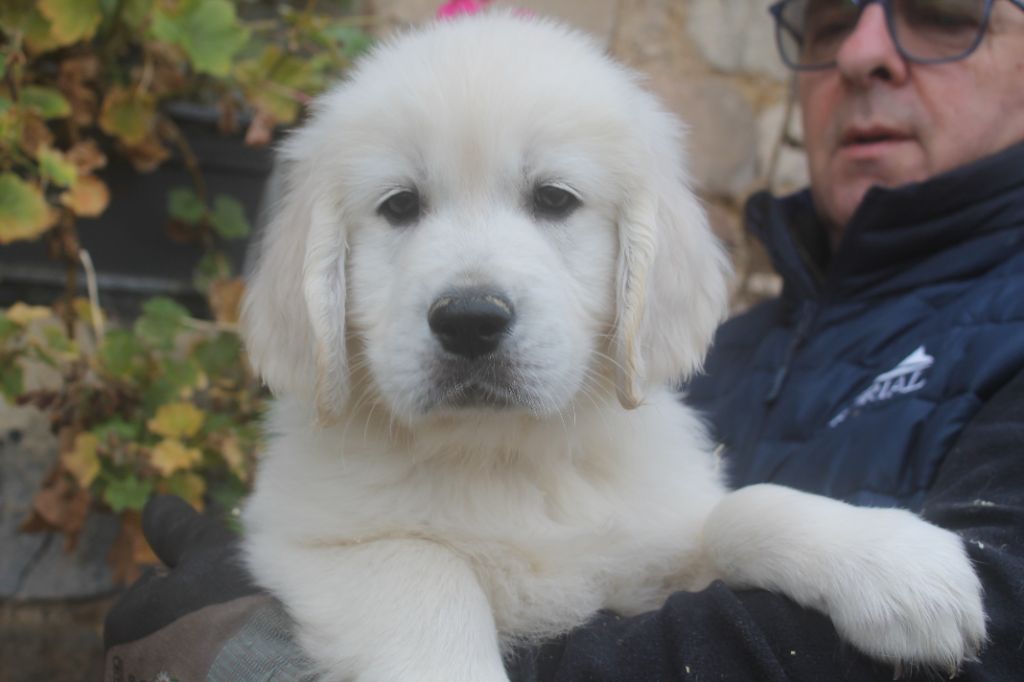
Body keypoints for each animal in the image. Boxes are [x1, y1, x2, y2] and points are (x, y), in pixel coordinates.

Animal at [239, 11, 983, 679]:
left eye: (554, 199)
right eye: (399, 206)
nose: (470, 320)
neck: (501, 456)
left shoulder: (643, 561)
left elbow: (738, 510)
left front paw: (889, 557)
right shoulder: (310, 540)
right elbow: (425, 570)